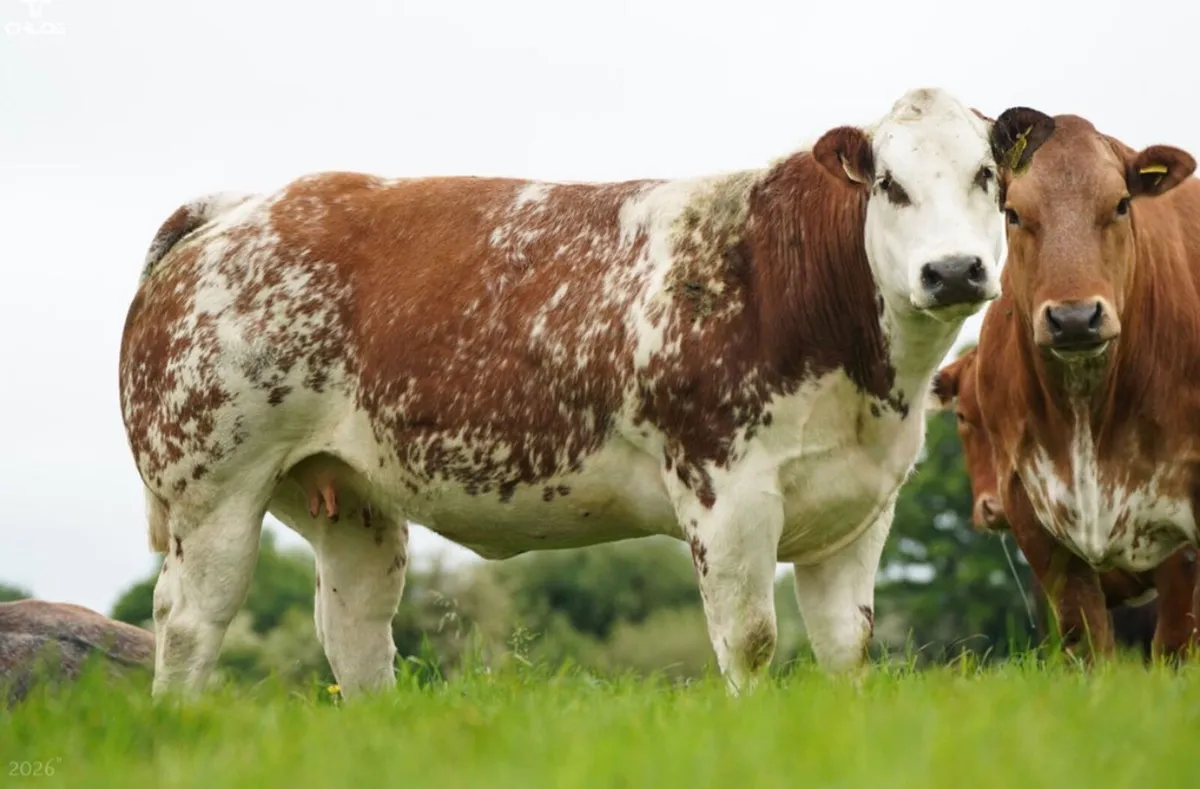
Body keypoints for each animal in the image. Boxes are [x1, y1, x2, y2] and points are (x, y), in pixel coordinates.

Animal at [118, 88, 1054, 698]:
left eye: (987, 177)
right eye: (891, 185)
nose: (953, 270)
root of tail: (240, 205)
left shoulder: (859, 508)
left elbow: (846, 649)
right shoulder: (725, 489)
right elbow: (751, 640)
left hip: (349, 501)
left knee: (354, 633)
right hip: (213, 485)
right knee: (189, 622)